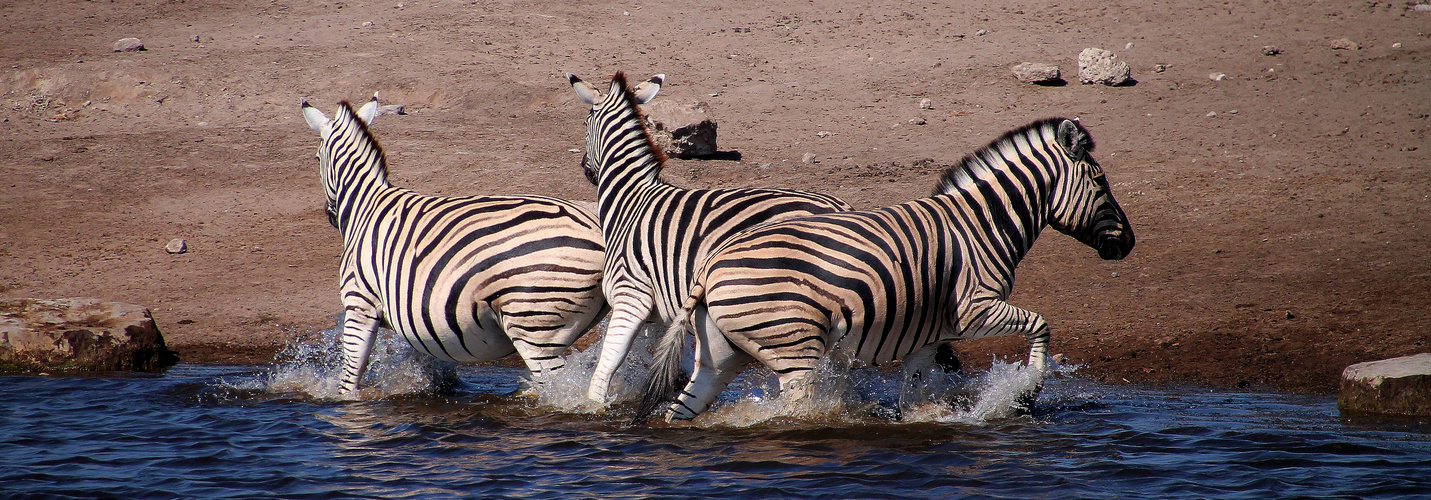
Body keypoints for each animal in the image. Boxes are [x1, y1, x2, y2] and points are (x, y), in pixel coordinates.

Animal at [301, 95, 609, 395]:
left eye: (316, 157)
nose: (330, 216)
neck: (365, 204)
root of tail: (597, 229)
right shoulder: (418, 319)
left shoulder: (359, 302)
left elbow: (350, 378)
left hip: (534, 324)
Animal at [566, 71, 847, 404]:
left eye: (586, 122)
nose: (585, 168)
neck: (630, 200)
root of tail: (840, 207)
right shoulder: (657, 314)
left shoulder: (630, 295)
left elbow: (606, 367)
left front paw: (592, 407)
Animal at [643, 117, 1133, 421]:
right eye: (1100, 181)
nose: (1128, 244)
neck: (982, 224)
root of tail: (709, 268)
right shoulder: (974, 308)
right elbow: (1040, 324)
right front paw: (1027, 393)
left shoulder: (929, 335)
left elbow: (912, 395)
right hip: (795, 349)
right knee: (792, 412)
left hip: (722, 353)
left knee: (682, 410)